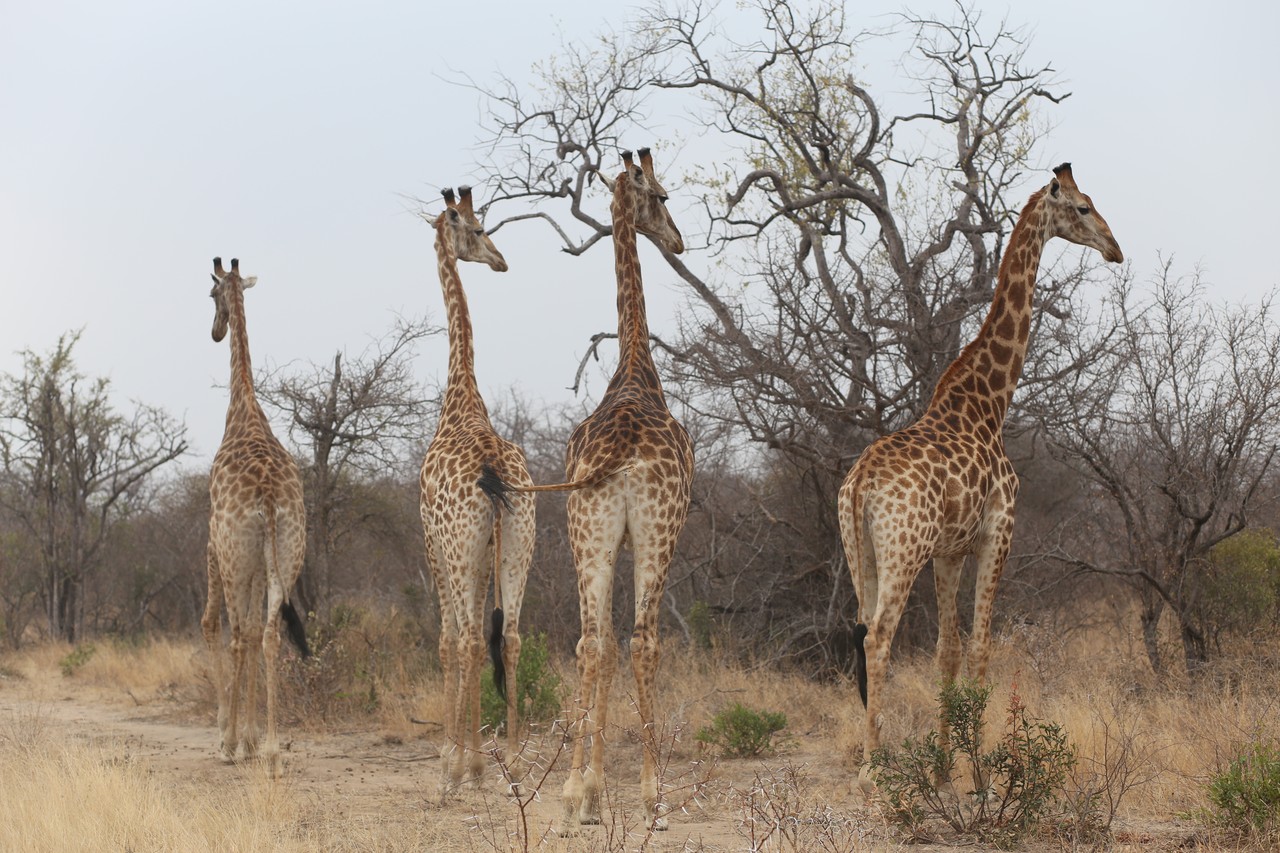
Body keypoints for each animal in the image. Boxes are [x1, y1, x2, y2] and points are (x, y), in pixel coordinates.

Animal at [514, 149, 692, 835]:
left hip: (584, 528)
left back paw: (568, 797)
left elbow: (600, 644)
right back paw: (651, 797)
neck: (636, 366)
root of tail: (620, 452)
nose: (678, 239)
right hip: (656, 529)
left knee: (593, 643)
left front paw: (586, 794)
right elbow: (631, 643)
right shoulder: (650, 532)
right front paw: (613, 792)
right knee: (640, 642)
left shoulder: (602, 534)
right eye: (662, 195)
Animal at [838, 164, 1123, 774]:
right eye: (1084, 208)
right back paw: (873, 771)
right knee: (878, 638)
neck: (989, 403)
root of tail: (860, 485)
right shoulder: (998, 531)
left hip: (860, 551)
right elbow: (981, 647)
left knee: (860, 630)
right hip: (902, 550)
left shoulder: (948, 550)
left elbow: (947, 650)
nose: (1115, 248)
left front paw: (945, 770)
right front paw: (981, 772)